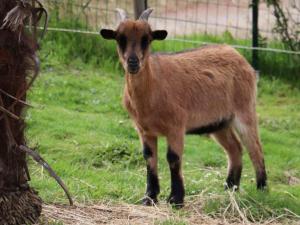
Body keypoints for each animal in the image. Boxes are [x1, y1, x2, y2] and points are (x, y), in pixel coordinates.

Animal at [101, 7, 268, 207]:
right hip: (219, 123)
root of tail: (240, 57)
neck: (153, 88)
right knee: (235, 148)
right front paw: (149, 198)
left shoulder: (176, 126)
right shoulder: (144, 130)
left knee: (255, 147)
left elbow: (173, 158)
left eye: (146, 39)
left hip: (244, 110)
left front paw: (176, 199)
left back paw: (261, 189)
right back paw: (230, 188)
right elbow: (149, 157)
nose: (133, 62)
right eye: (120, 38)